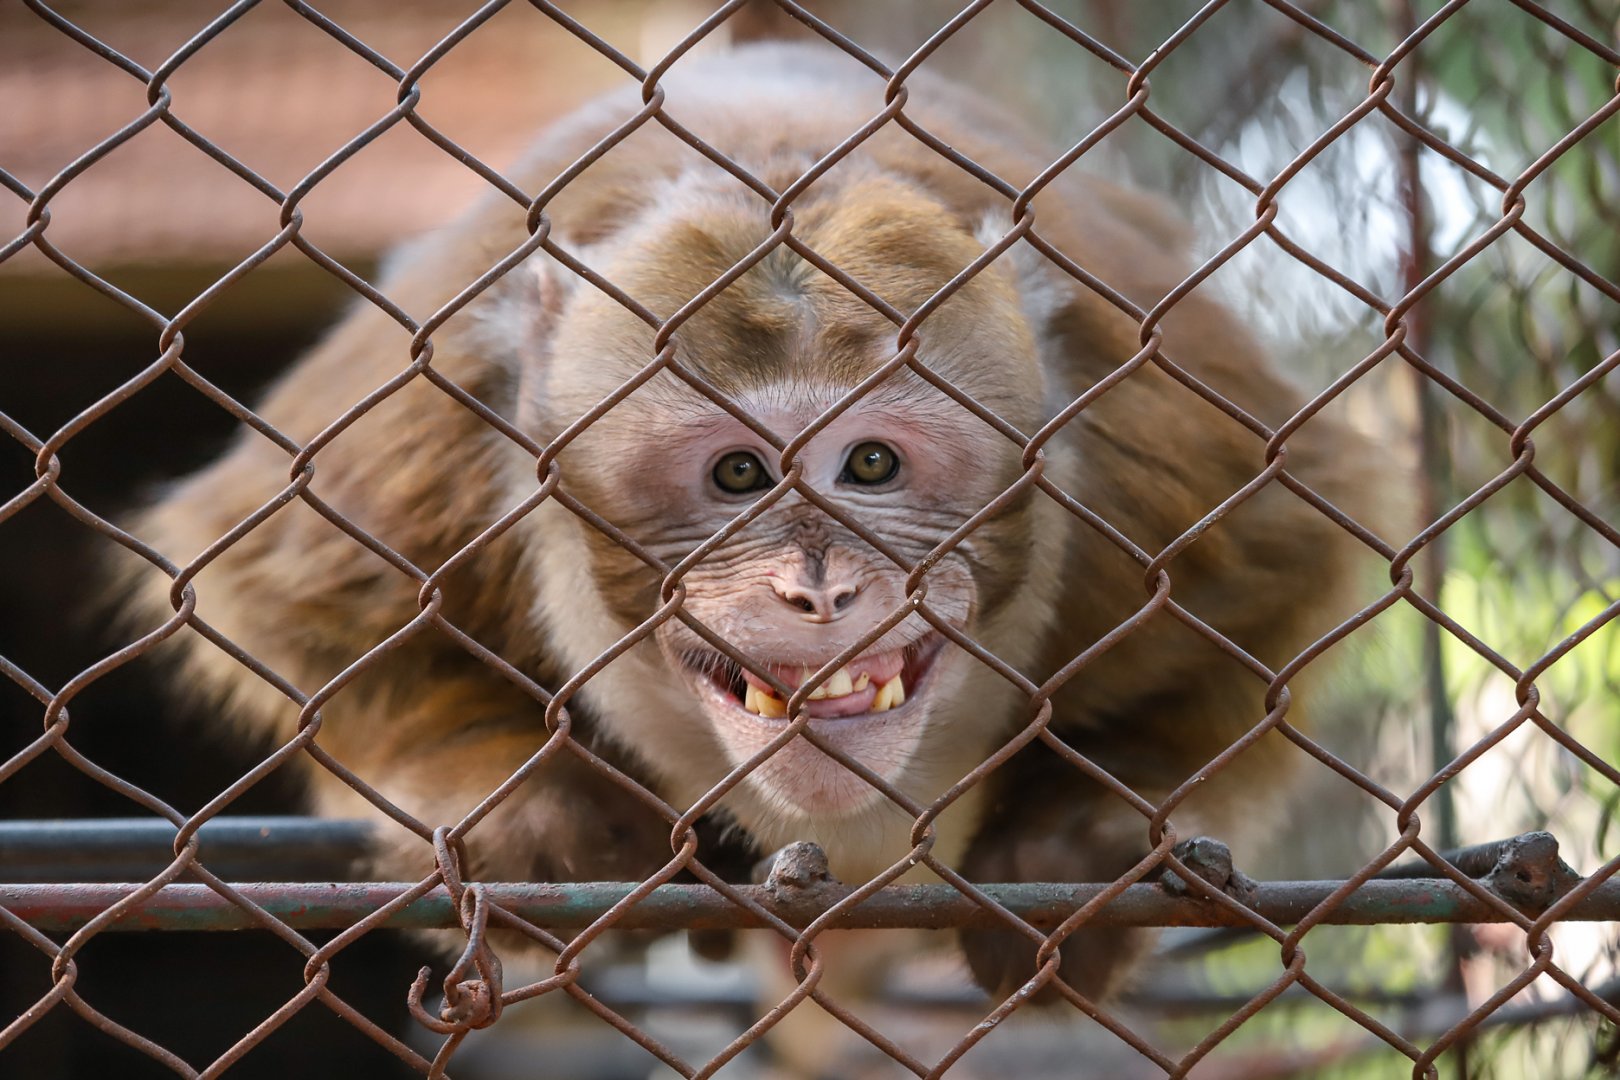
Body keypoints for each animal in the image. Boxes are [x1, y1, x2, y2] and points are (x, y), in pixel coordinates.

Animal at [119, 40, 1382, 1021]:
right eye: (737, 475)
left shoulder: (1151, 428)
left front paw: (1075, 845)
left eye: (870, 464)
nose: (816, 589)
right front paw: (522, 811)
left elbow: (1272, 568)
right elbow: (298, 594)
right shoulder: (431, 410)